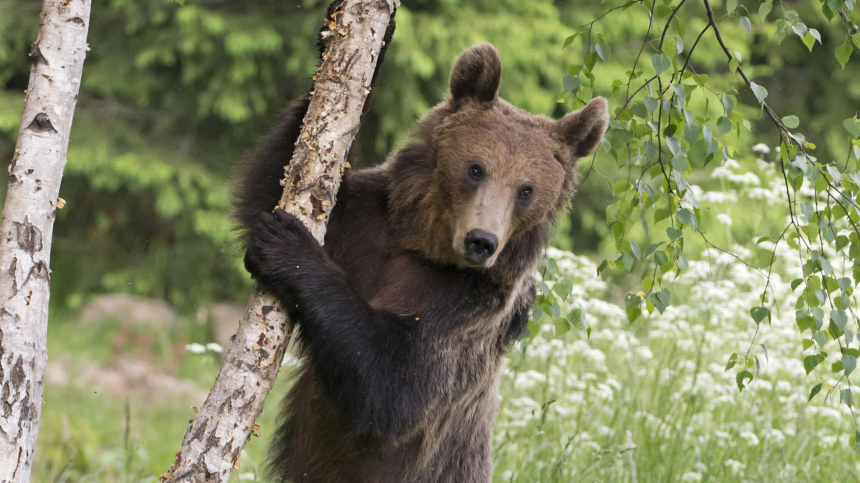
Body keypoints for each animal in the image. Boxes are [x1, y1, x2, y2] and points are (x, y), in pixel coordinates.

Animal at [239, 36, 608, 483]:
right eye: (476, 168)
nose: (482, 241)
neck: (425, 244)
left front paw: (287, 246)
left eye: (526, 190)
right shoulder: (367, 223)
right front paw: (368, 47)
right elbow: (272, 184)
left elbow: (398, 381)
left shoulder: (467, 305)